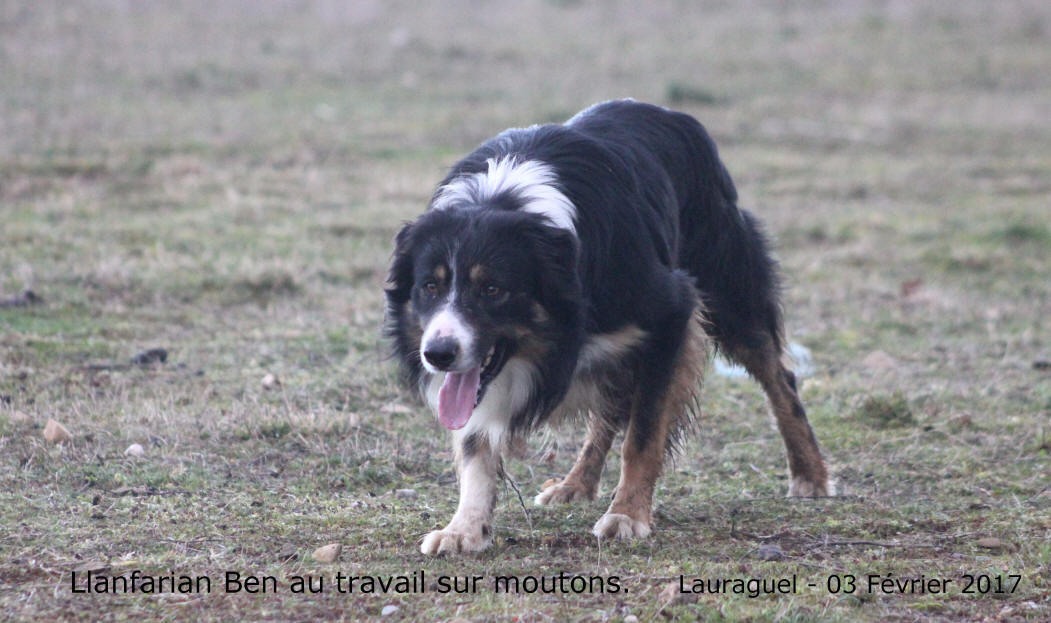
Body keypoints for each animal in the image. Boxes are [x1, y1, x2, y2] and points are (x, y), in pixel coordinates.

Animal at [386, 98, 828, 554]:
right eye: (430, 286)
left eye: (492, 289)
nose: (437, 355)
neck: (508, 202)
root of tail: (669, 113)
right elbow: (475, 443)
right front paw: (465, 528)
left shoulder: (669, 312)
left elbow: (644, 434)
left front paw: (628, 515)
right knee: (608, 409)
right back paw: (575, 484)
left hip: (727, 286)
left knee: (778, 377)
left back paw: (809, 473)